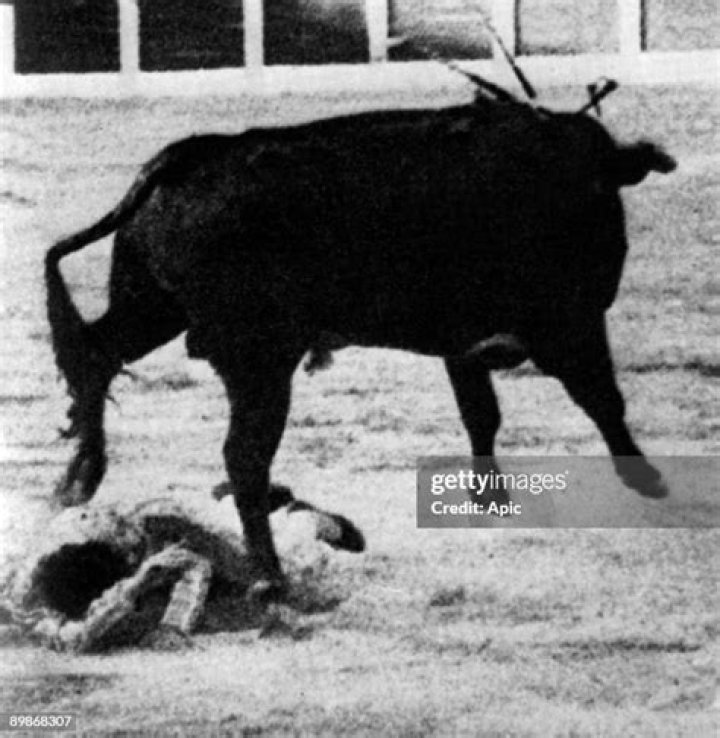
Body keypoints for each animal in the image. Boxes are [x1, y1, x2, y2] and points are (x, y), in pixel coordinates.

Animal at [45, 78, 676, 602]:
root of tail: (181, 159)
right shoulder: (567, 323)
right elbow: (602, 399)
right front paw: (647, 480)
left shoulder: (465, 343)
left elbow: (482, 414)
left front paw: (490, 498)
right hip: (258, 358)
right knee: (244, 457)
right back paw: (269, 576)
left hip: (151, 308)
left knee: (97, 355)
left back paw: (78, 480)